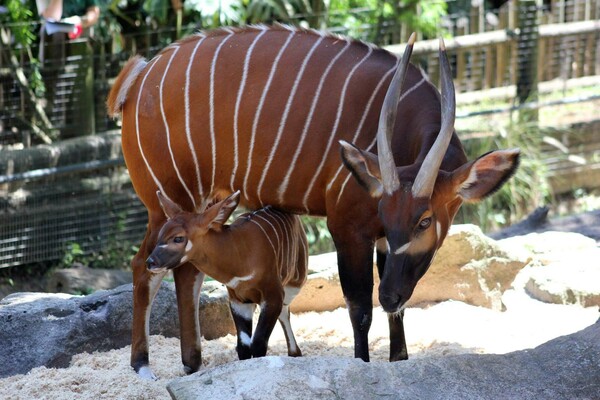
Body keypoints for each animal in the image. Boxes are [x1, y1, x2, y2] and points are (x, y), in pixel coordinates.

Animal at [147, 191, 308, 360]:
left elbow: (258, 342)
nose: (150, 262)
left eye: (178, 238)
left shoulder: (272, 295)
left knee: (285, 311)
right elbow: (243, 346)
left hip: (295, 283)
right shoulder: (238, 300)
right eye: (160, 235)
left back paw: (295, 353)